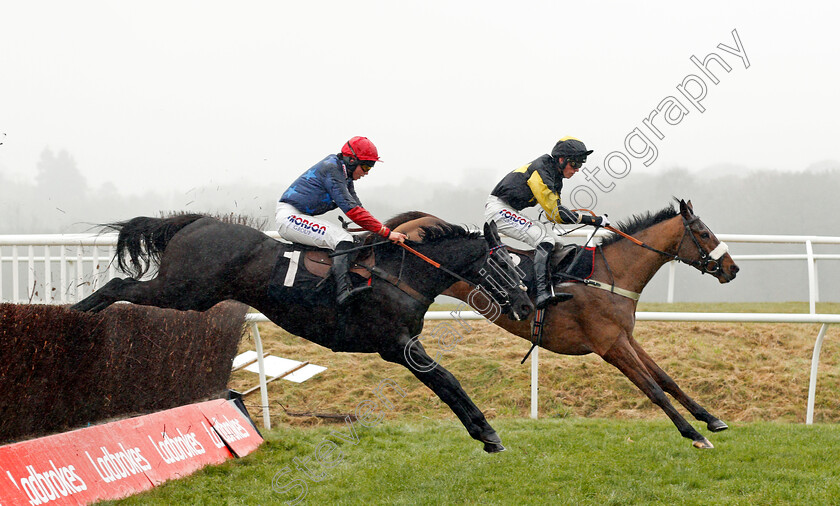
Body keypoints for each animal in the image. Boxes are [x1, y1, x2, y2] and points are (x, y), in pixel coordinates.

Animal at [72, 212, 532, 450]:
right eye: (503, 264)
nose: (527, 306)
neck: (404, 274)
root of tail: (195, 223)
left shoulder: (404, 344)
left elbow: (445, 382)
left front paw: (485, 432)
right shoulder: (396, 345)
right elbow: (448, 380)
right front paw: (487, 433)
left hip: (191, 295)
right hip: (183, 291)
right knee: (119, 287)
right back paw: (73, 317)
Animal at [390, 200, 740, 448]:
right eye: (705, 234)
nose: (732, 268)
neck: (610, 275)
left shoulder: (625, 338)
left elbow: (667, 380)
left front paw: (711, 420)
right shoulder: (611, 346)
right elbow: (653, 389)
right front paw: (694, 434)